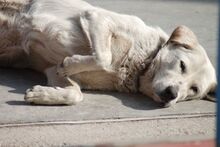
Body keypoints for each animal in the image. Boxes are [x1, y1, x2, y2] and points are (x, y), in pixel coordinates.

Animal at [0, 0, 217, 107]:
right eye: (182, 65)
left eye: (194, 89)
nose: (172, 94)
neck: (141, 63)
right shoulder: (97, 17)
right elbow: (103, 58)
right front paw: (70, 63)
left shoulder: (53, 70)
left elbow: (75, 94)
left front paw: (42, 94)